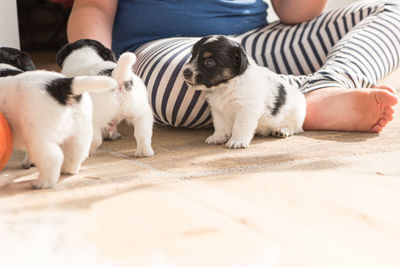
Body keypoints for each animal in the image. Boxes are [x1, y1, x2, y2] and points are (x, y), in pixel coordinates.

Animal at [0, 47, 118, 189]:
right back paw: (68, 170)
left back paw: (43, 183)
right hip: (80, 133)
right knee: (76, 154)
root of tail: (61, 87)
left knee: (53, 157)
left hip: (37, 137)